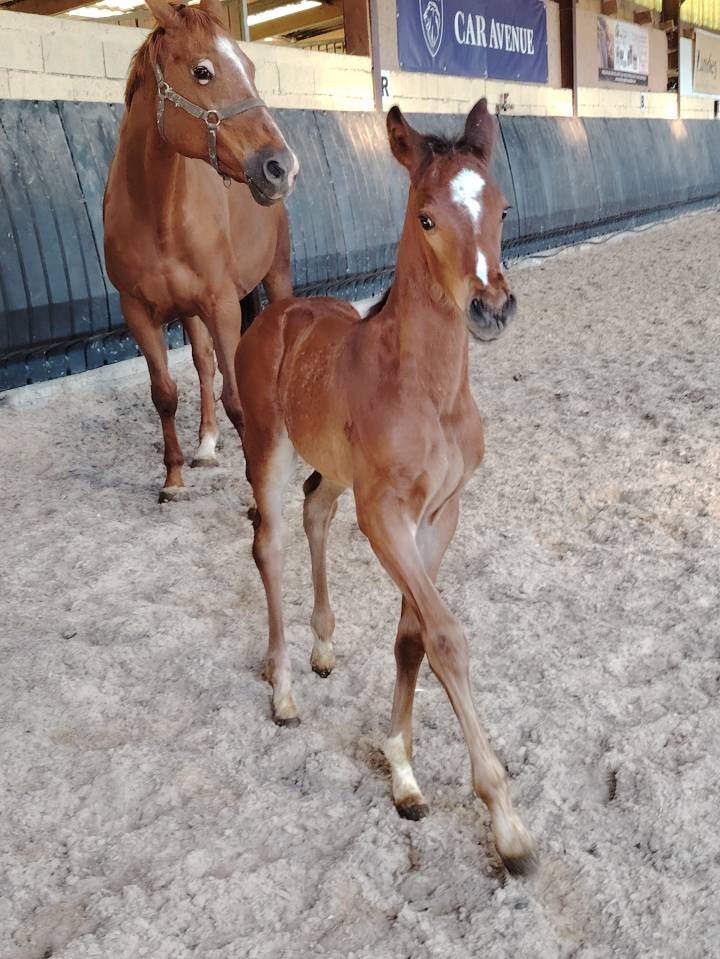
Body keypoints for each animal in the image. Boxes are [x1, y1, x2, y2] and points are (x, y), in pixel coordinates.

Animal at [104, 0, 298, 502]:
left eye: (250, 66)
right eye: (202, 71)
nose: (281, 167)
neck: (156, 214)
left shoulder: (223, 306)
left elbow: (237, 398)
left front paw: (256, 496)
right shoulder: (138, 312)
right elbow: (166, 393)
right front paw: (172, 479)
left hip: (276, 275)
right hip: (189, 311)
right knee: (204, 365)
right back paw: (207, 444)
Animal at [234, 99, 537, 875]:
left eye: (502, 206)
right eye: (426, 217)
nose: (492, 308)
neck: (427, 392)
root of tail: (280, 311)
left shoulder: (440, 513)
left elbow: (411, 636)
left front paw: (402, 771)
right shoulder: (384, 516)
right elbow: (446, 634)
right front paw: (507, 824)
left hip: (334, 472)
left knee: (314, 511)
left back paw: (322, 648)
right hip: (268, 449)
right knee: (270, 545)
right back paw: (283, 688)